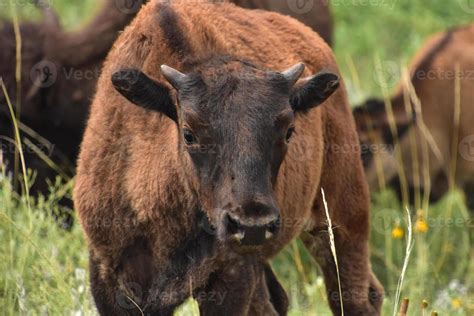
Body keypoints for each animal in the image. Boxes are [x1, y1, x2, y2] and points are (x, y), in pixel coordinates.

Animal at [75, 1, 386, 314]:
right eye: (189, 133)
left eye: (289, 130)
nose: (252, 224)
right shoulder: (106, 274)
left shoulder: (230, 274)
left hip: (342, 218)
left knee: (355, 293)